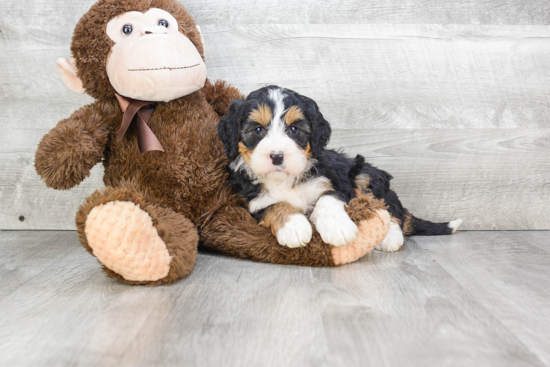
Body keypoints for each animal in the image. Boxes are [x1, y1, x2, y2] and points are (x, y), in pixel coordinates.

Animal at [218, 86, 464, 253]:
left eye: (294, 129)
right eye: (258, 130)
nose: (277, 156)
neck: (286, 179)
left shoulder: (335, 181)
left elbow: (328, 199)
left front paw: (338, 228)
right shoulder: (252, 202)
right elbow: (275, 205)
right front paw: (294, 226)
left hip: (365, 173)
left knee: (390, 210)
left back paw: (389, 237)